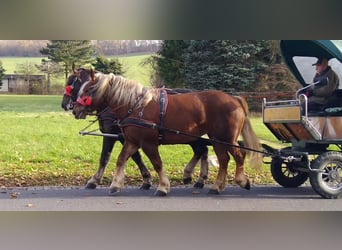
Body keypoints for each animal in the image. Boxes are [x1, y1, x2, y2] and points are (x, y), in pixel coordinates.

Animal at [62, 66, 210, 189]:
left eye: (70, 84)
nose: (65, 105)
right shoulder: (128, 137)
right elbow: (131, 156)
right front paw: (145, 179)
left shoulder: (118, 136)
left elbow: (110, 157)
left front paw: (95, 180)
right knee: (202, 150)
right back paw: (197, 177)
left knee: (202, 149)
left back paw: (194, 176)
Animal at [73, 70, 264, 195]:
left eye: (88, 89)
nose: (75, 109)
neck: (136, 105)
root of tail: (235, 99)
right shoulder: (132, 141)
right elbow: (121, 159)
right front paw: (116, 185)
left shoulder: (148, 143)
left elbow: (157, 163)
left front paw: (163, 187)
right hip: (216, 139)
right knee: (222, 159)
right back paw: (216, 185)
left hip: (225, 138)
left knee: (238, 155)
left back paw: (239, 181)